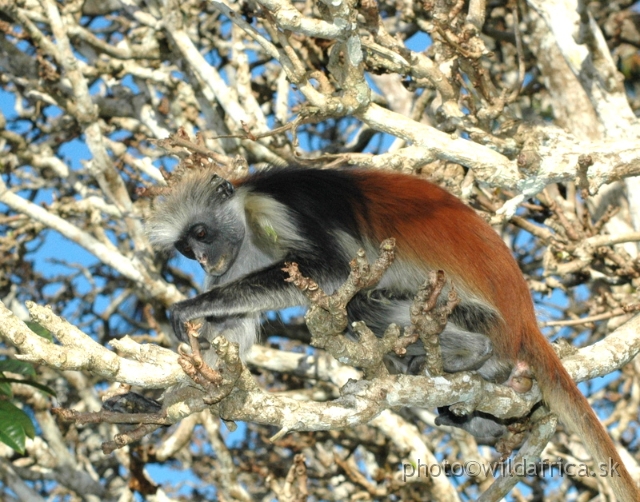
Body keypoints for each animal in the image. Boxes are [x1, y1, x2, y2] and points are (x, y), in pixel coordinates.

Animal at [146, 167, 640, 500]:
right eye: (188, 248)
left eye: (201, 232)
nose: (203, 262)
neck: (245, 208)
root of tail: (524, 320)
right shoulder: (243, 250)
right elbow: (233, 327)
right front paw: (157, 401)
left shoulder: (273, 206)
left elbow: (330, 269)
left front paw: (190, 306)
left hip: (462, 310)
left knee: (361, 301)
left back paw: (468, 355)